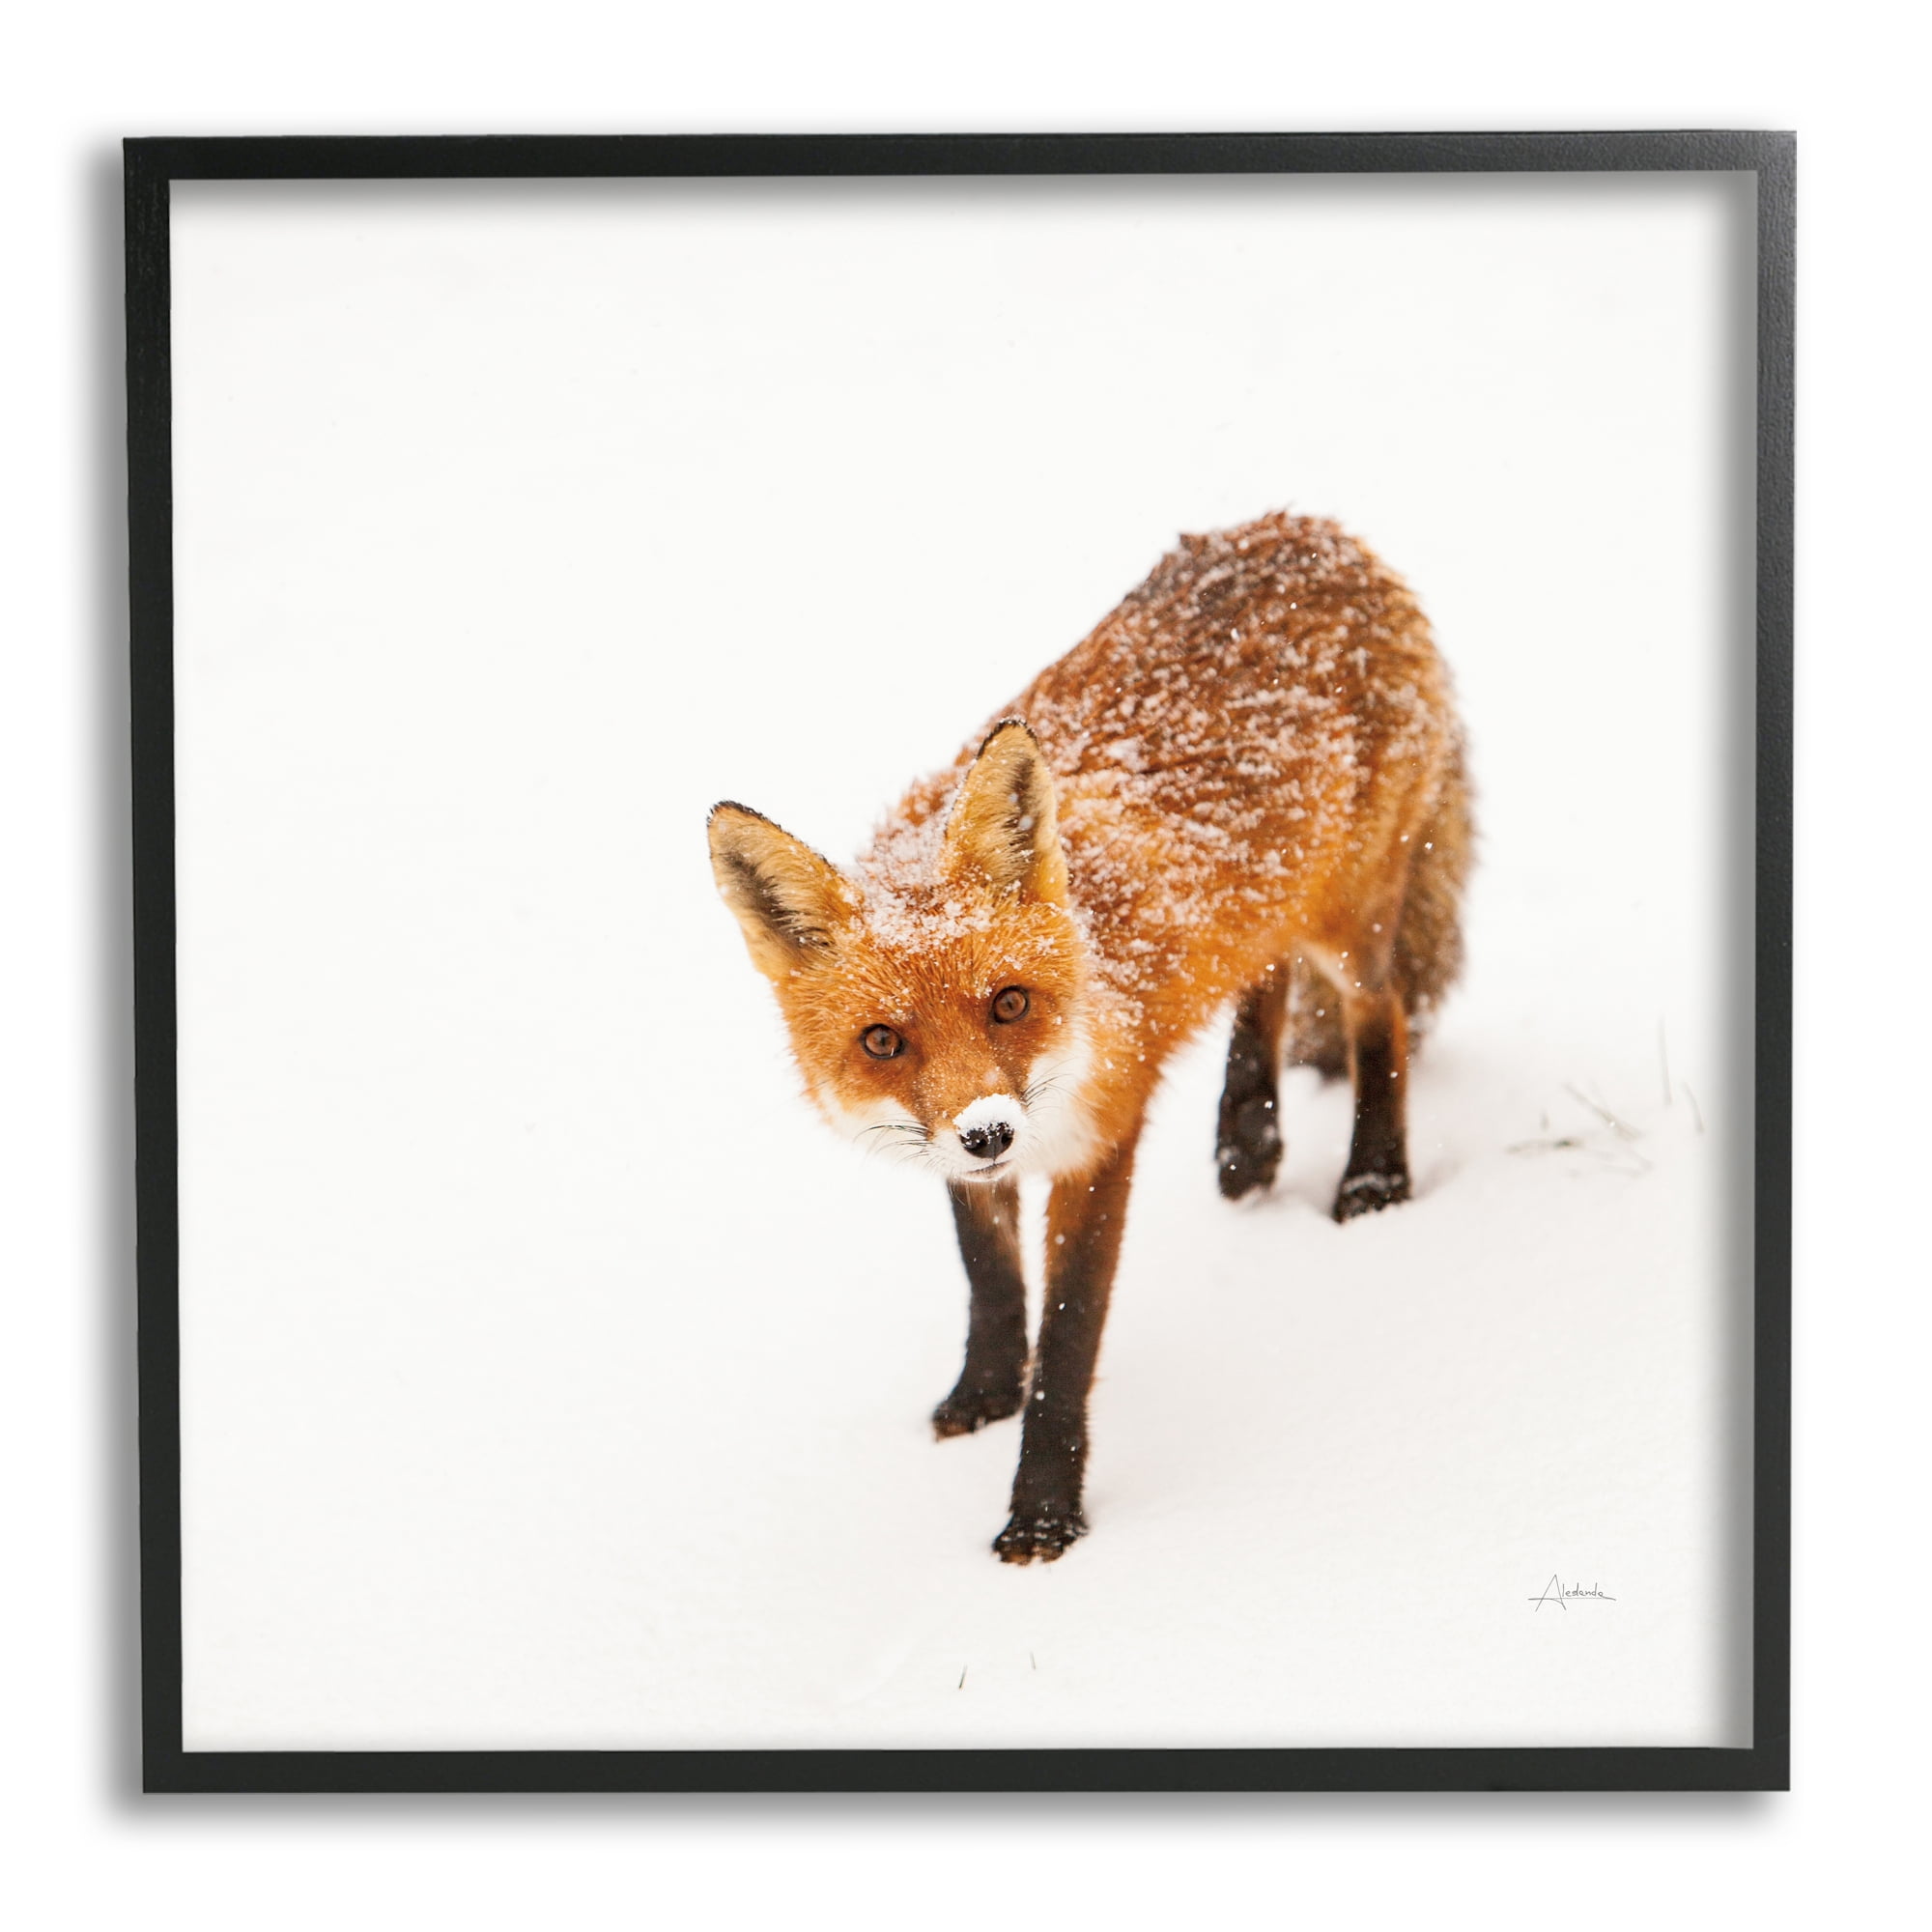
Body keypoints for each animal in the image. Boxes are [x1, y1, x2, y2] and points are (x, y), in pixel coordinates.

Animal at [708, 511, 1471, 1564]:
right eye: (882, 1041)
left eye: (1008, 1004)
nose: (989, 1132)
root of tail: (1308, 526)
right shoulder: (961, 1154)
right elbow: (989, 1278)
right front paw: (984, 1391)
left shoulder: (1102, 1137)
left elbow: (1068, 1338)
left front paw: (1042, 1513)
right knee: (1263, 972)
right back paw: (1247, 1137)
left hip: (1349, 919)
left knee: (1378, 1015)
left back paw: (1372, 1180)